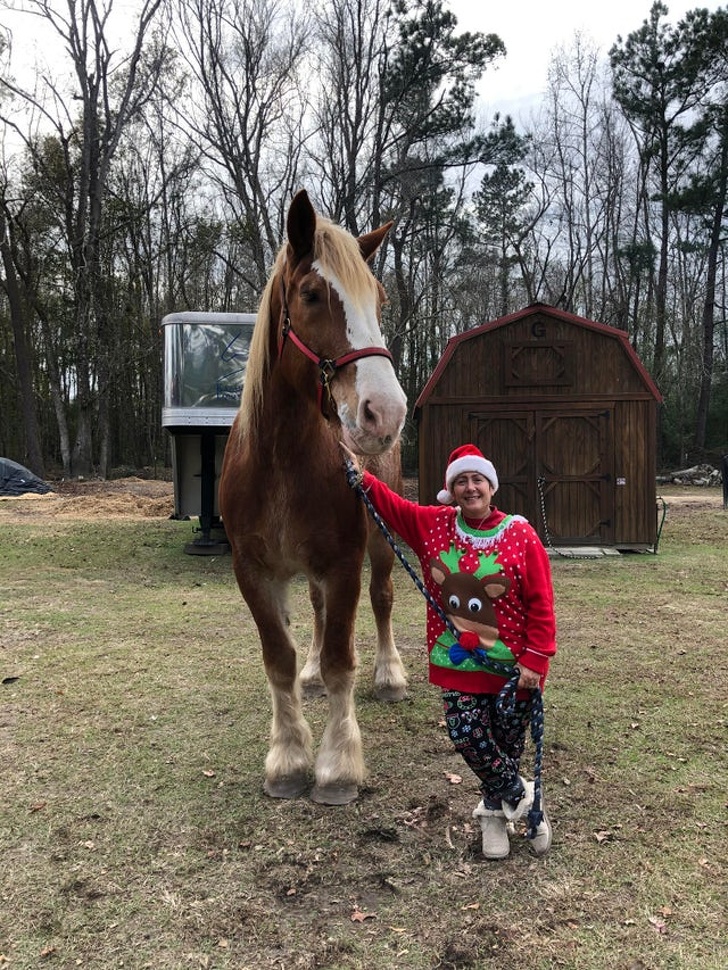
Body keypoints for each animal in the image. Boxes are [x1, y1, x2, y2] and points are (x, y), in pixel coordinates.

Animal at [216, 187, 410, 800]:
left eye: (380, 300)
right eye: (310, 294)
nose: (385, 413)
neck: (279, 462)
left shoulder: (344, 562)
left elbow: (342, 661)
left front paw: (339, 764)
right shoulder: (253, 571)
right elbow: (279, 658)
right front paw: (287, 758)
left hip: (379, 544)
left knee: (382, 600)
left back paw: (390, 674)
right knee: (320, 615)